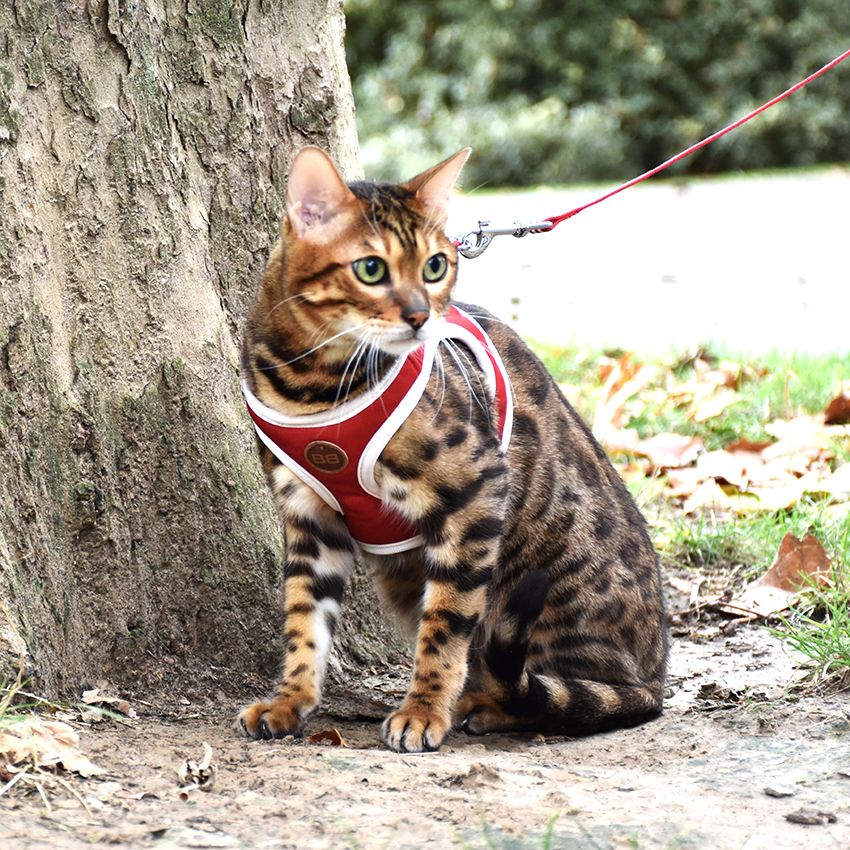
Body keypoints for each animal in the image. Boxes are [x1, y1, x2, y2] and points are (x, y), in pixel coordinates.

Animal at [235, 146, 664, 748]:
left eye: (435, 266)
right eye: (371, 269)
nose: (420, 317)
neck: (313, 383)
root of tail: (658, 674)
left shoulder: (475, 493)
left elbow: (445, 627)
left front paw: (422, 710)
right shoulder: (309, 514)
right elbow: (304, 619)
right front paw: (290, 700)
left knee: (558, 691)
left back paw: (484, 705)